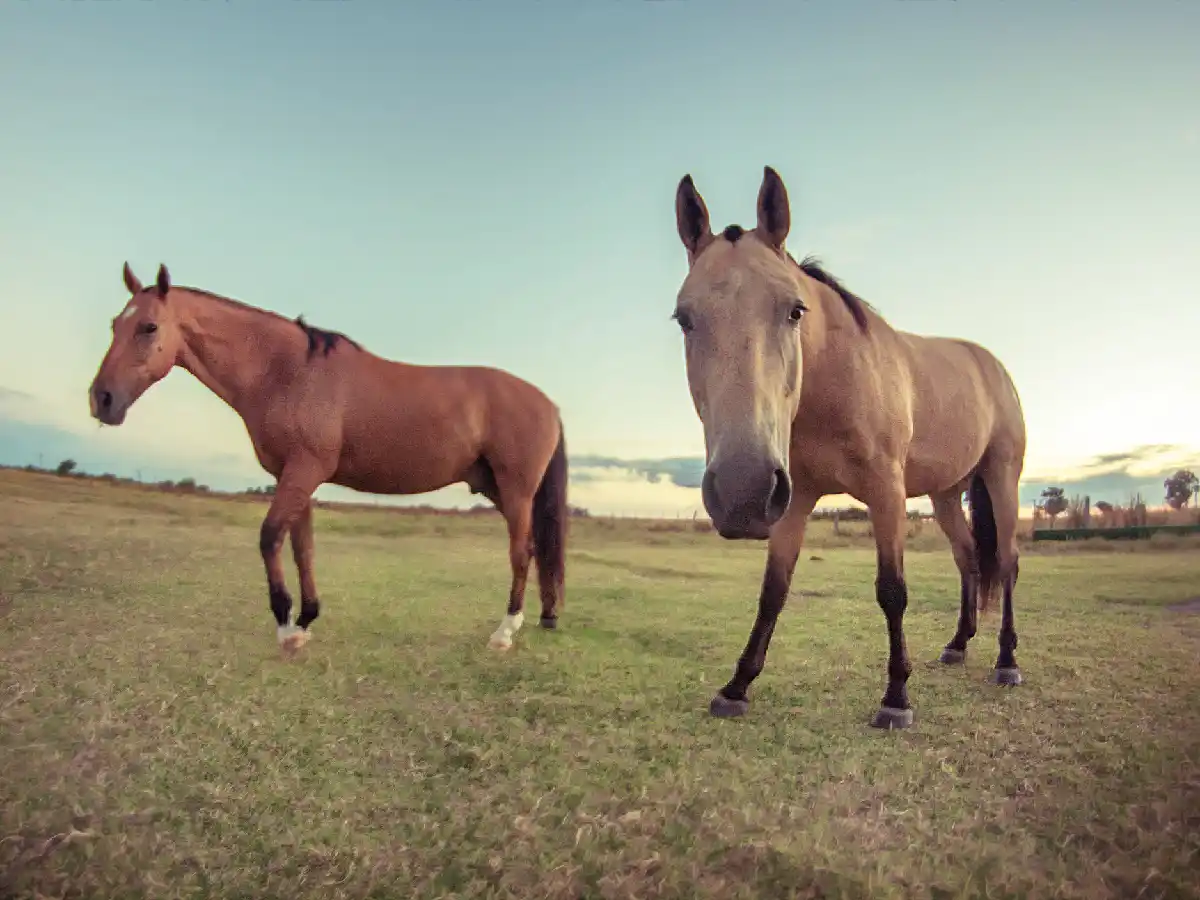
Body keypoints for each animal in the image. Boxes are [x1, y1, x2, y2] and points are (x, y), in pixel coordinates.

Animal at [88, 263, 568, 655]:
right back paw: (546, 616)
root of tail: (547, 403)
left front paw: (285, 627)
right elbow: (303, 547)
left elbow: (270, 538)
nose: (101, 400)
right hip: (495, 488)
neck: (287, 372)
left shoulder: (304, 471)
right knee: (537, 548)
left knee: (521, 551)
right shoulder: (295, 475)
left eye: (149, 327)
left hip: (515, 489)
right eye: (114, 324)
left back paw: (504, 633)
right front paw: (305, 621)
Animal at [671, 166, 1027, 729]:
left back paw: (1007, 661)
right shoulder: (793, 499)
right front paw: (737, 686)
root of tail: (991, 365)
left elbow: (892, 591)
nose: (740, 491)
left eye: (795, 311)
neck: (837, 380)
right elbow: (773, 591)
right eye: (684, 319)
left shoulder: (886, 492)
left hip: (1001, 478)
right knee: (968, 557)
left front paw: (896, 698)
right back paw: (958, 645)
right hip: (947, 494)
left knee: (1007, 562)